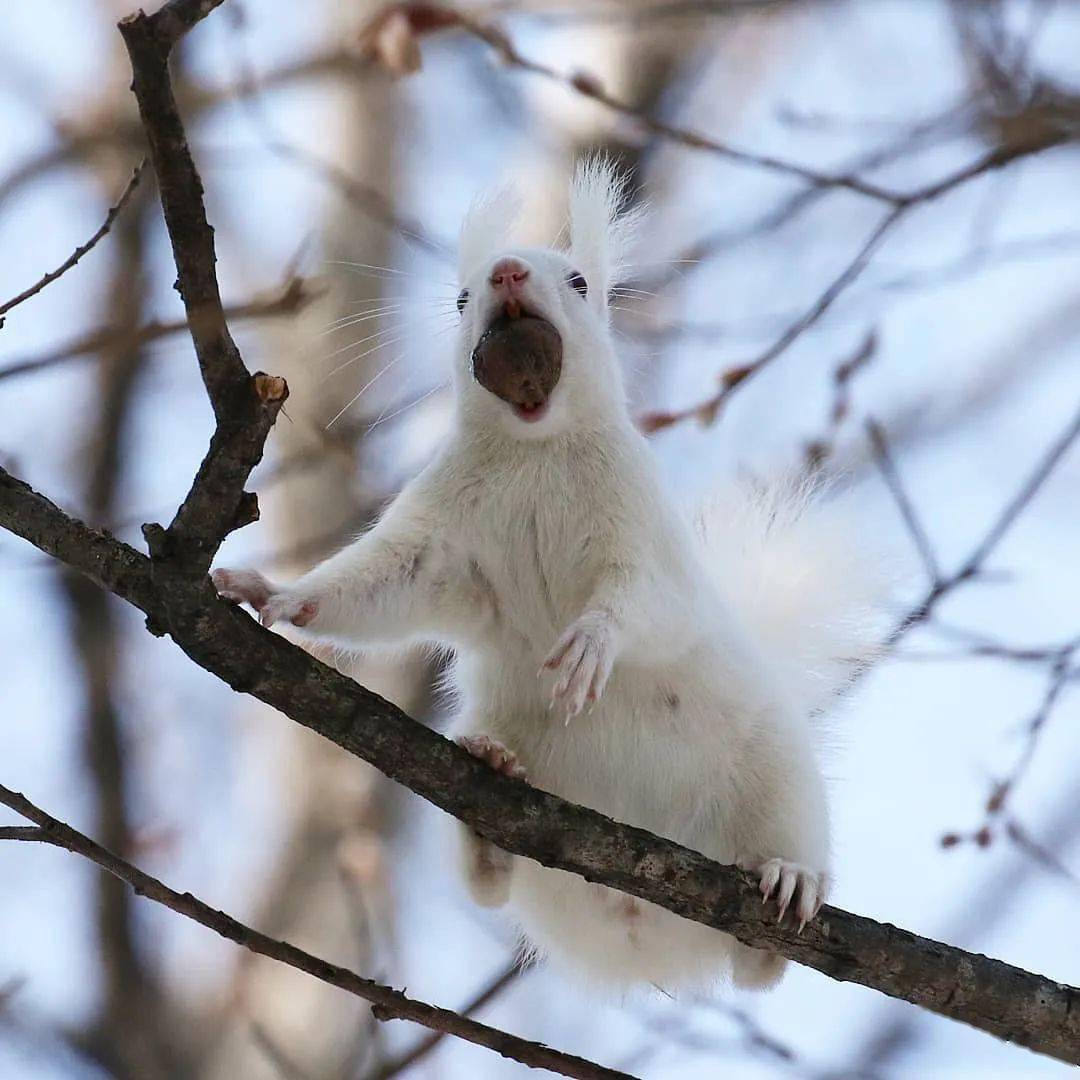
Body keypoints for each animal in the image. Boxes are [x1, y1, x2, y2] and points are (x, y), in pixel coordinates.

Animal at [217, 156, 885, 989]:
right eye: (461, 298)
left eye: (576, 281)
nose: (506, 272)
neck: (536, 449)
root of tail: (636, 926)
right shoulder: (441, 538)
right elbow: (376, 589)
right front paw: (273, 592)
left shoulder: (643, 532)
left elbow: (645, 603)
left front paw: (592, 644)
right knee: (489, 885)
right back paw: (492, 773)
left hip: (782, 783)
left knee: (760, 965)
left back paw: (789, 879)